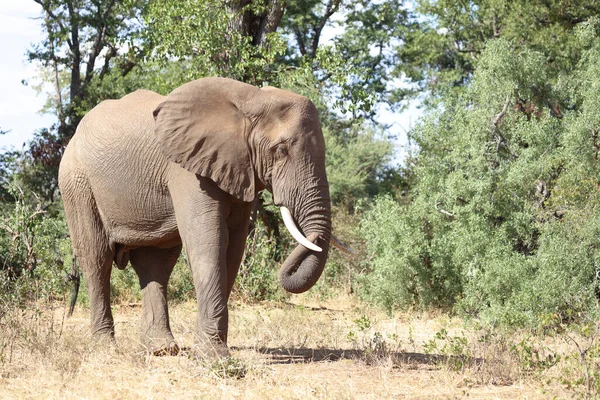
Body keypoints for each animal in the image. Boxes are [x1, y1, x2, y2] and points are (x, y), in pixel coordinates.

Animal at [59, 78, 346, 356]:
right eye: (282, 150)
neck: (250, 99)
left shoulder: (238, 167)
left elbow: (234, 247)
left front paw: (207, 349)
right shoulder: (186, 169)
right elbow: (208, 241)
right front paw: (213, 356)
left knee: (155, 263)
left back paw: (161, 350)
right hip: (76, 183)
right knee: (97, 259)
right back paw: (105, 349)